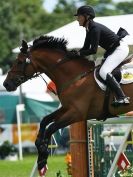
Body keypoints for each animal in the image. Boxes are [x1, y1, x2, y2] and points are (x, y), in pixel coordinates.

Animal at [2, 35, 133, 176]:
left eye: (20, 62)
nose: (6, 84)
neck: (75, 77)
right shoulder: (67, 108)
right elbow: (44, 121)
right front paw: (40, 156)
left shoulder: (76, 113)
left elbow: (50, 128)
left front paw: (43, 156)